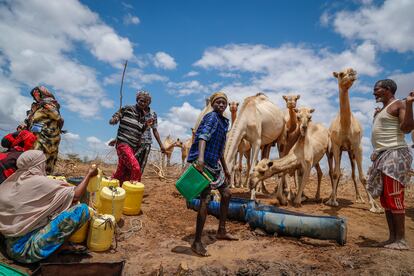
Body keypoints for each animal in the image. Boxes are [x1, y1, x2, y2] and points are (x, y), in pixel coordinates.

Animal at [326, 67, 384, 213]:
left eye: (352, 71)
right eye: (341, 74)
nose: (352, 73)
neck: (346, 125)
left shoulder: (357, 146)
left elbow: (363, 177)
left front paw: (375, 206)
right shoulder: (336, 145)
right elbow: (336, 173)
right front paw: (332, 201)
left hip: (351, 152)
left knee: (353, 174)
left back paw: (359, 198)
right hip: (340, 151)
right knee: (336, 172)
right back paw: (333, 195)